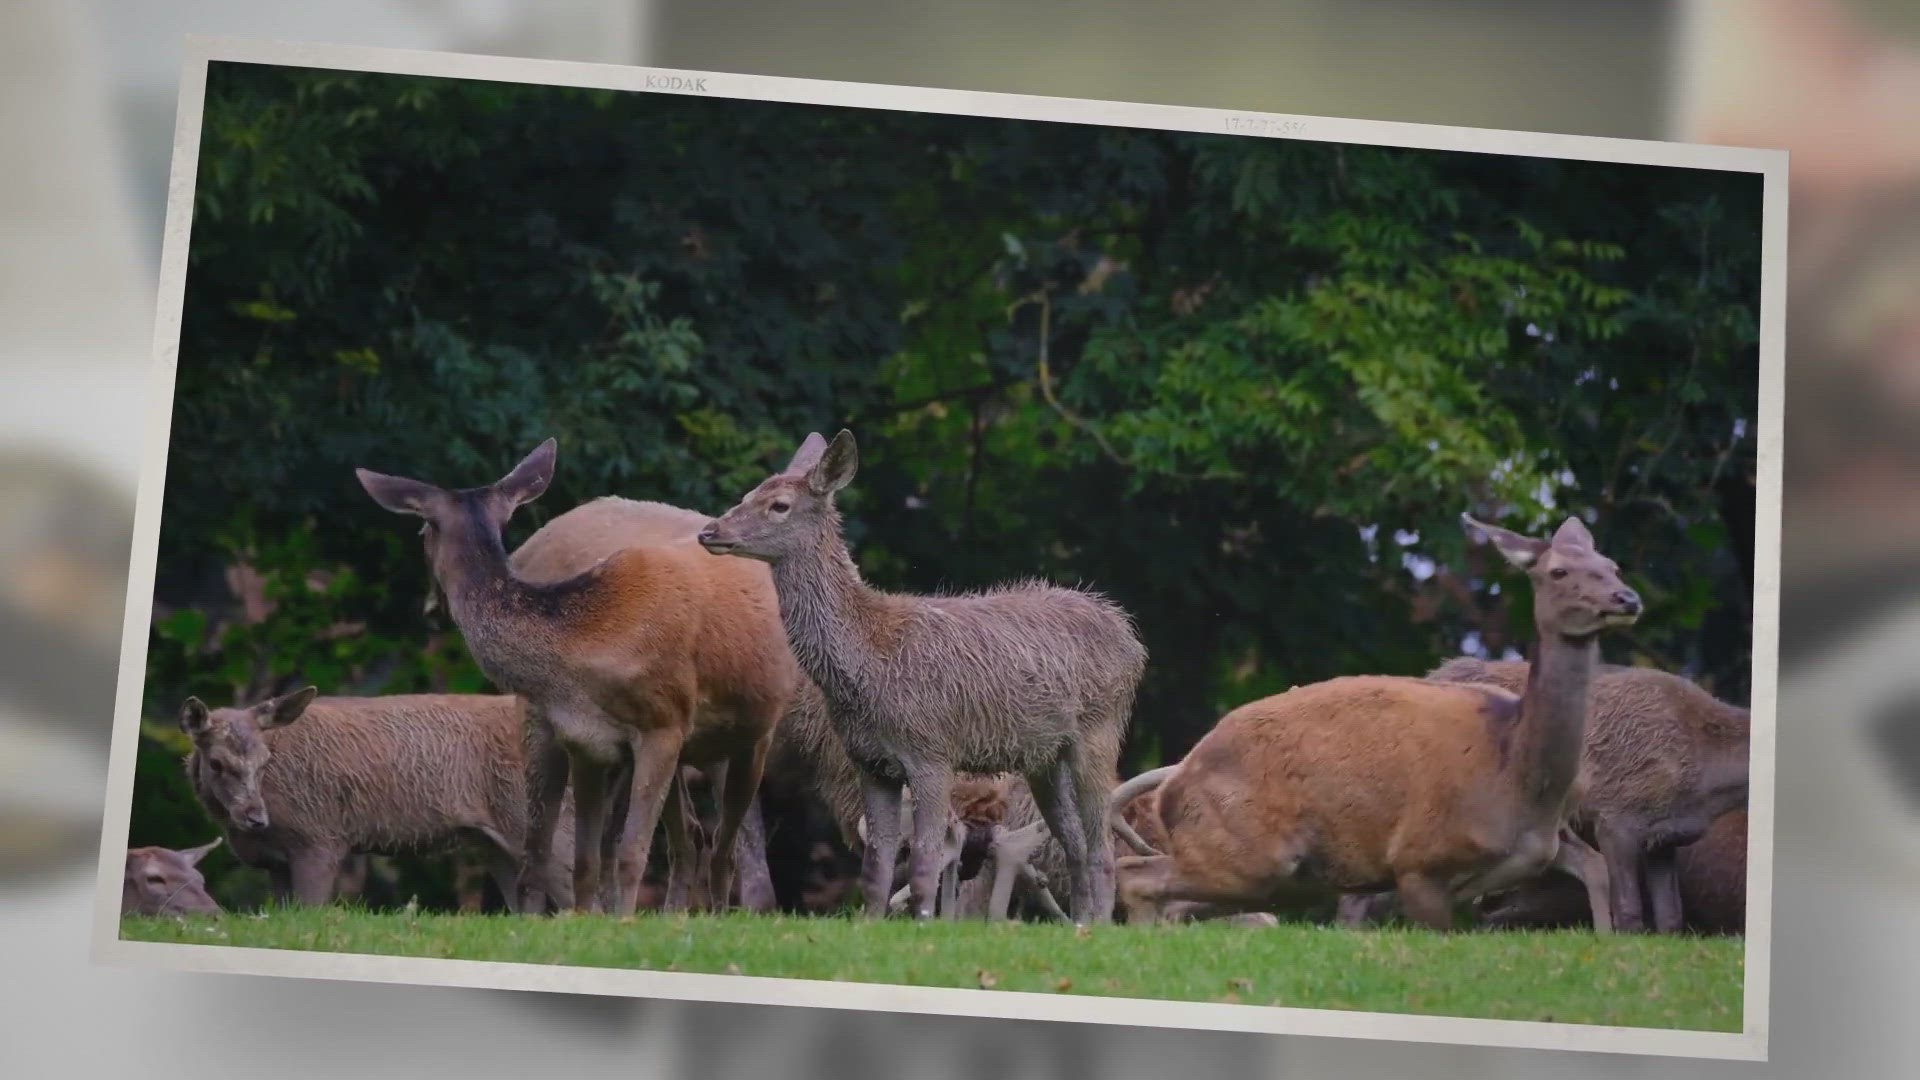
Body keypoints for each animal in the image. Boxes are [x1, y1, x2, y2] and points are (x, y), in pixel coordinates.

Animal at [179, 688, 574, 909]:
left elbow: (311, 911)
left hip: (544, 826)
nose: (255, 817)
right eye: (216, 763)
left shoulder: (320, 837)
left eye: (264, 760)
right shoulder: (276, 861)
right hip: (495, 847)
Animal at [357, 440, 799, 915]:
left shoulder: (663, 723)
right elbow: (585, 859)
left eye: (422, 533)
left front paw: (623, 921)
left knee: (725, 848)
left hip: (755, 734)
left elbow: (631, 852)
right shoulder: (586, 742)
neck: (583, 648)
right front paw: (585, 919)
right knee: (695, 840)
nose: (430, 608)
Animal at [698, 430, 1146, 924]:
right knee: (1074, 840)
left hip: (1100, 731)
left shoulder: (932, 751)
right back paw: (1081, 921)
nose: (710, 531)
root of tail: (1131, 636)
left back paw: (1096, 924)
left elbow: (927, 858)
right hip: (1045, 757)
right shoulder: (870, 762)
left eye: (779, 504)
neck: (865, 664)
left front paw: (926, 922)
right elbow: (876, 861)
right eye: (747, 494)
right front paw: (872, 922)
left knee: (1101, 843)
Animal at [1113, 513, 1640, 931]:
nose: (1626, 598)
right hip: (1248, 854)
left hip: (1265, 878)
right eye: (1558, 571)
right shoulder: (1419, 859)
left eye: (1612, 565)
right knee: (1138, 878)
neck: (1515, 776)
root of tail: (1173, 787)